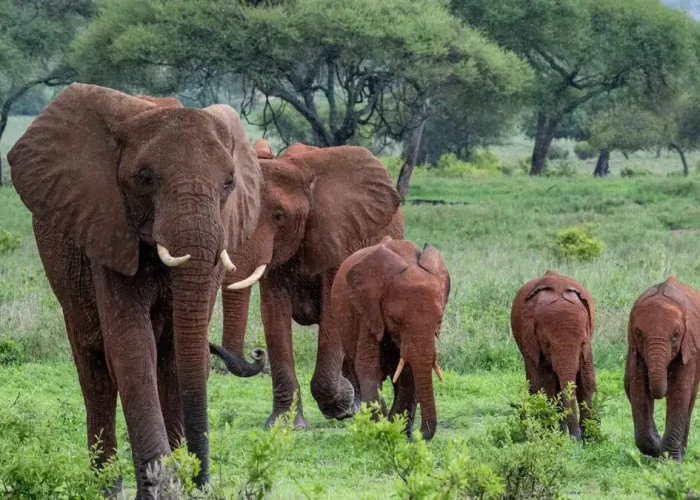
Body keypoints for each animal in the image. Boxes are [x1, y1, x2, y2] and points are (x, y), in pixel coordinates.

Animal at [8, 83, 266, 497]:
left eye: (229, 183)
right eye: (144, 179)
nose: (200, 480)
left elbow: (176, 351)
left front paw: (177, 481)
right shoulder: (107, 229)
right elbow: (131, 346)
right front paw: (162, 484)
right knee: (94, 369)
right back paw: (106, 488)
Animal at [210, 138, 404, 427]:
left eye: (279, 216)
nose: (257, 353)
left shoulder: (341, 236)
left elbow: (333, 308)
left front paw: (342, 403)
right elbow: (273, 314)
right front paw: (283, 424)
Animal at [310, 237, 450, 440]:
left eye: (439, 321)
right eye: (396, 320)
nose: (420, 434)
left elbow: (409, 372)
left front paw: (398, 431)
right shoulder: (369, 312)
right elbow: (368, 367)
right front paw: (382, 424)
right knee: (356, 370)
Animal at [511, 270, 597, 440]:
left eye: (582, 343)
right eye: (547, 344)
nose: (576, 438)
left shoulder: (587, 347)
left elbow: (587, 382)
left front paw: (590, 437)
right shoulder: (532, 340)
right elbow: (545, 384)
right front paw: (556, 435)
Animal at [625, 276, 700, 461]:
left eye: (676, 335)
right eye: (638, 334)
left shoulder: (688, 347)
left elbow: (679, 392)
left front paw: (672, 461)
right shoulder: (636, 351)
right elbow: (638, 390)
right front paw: (657, 450)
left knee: (690, 399)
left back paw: (682, 451)